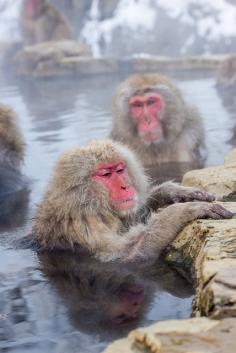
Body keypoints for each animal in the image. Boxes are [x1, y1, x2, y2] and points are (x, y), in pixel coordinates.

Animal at [30, 139, 232, 262]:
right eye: (106, 174)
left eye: (119, 170)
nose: (125, 187)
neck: (88, 202)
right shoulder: (84, 224)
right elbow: (126, 256)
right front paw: (183, 211)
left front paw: (176, 192)